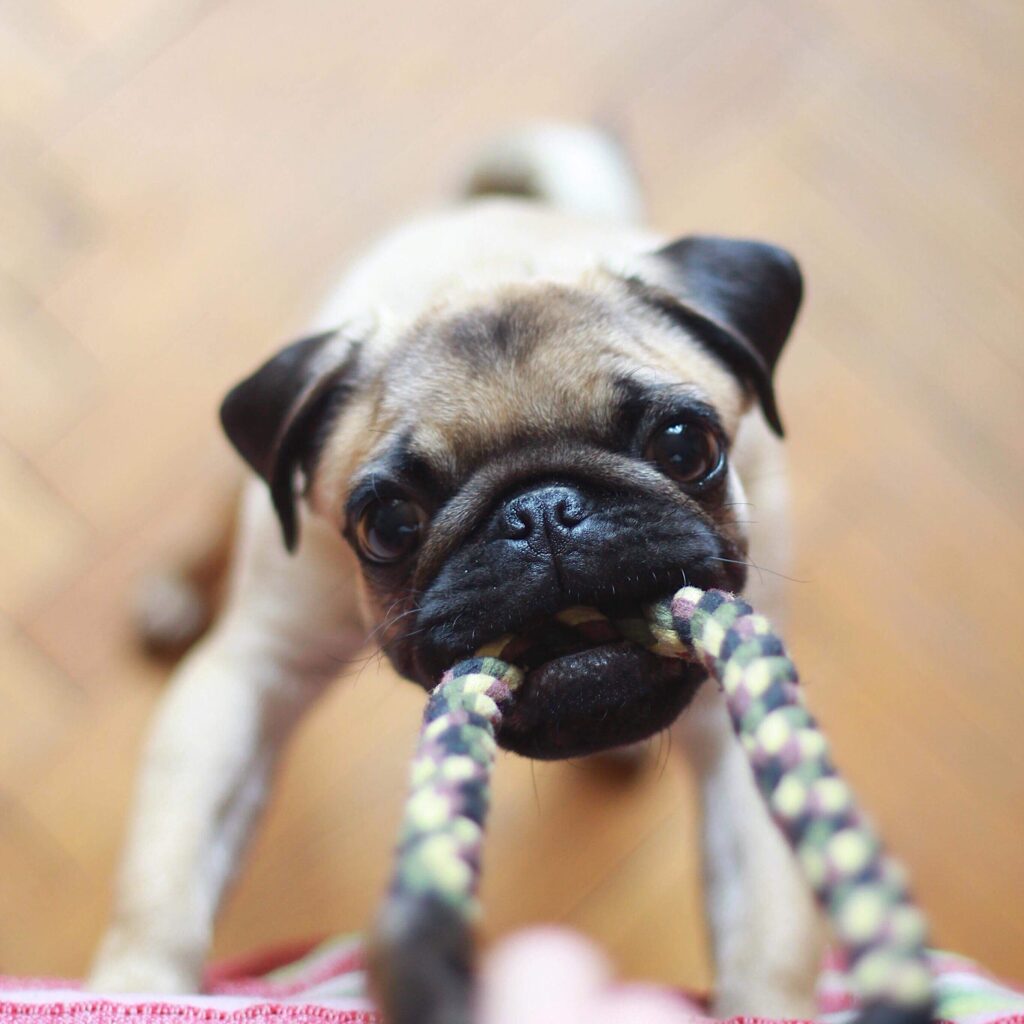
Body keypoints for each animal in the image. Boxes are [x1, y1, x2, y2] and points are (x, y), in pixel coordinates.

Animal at [90, 123, 823, 1011]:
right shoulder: (253, 672)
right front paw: (135, 982)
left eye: (686, 447)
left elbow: (769, 923)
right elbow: (167, 871)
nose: (542, 512)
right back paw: (174, 590)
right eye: (388, 525)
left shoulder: (740, 715)